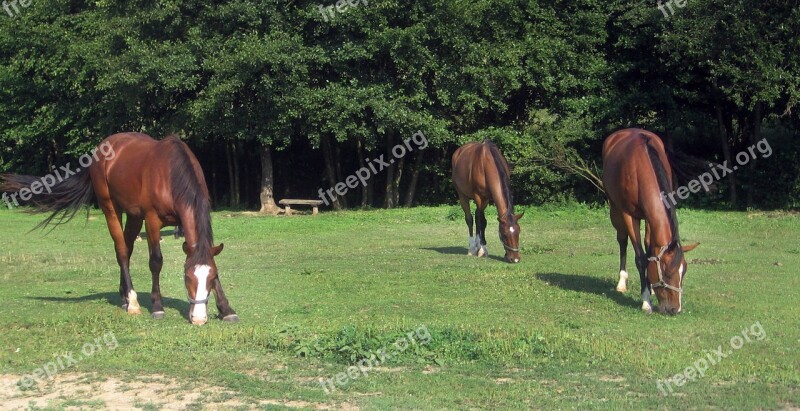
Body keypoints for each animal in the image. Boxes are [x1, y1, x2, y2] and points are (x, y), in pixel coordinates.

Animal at [0, 134, 238, 326]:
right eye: (187, 277)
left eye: (211, 277)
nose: (198, 318)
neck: (170, 174)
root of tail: (100, 151)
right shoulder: (152, 220)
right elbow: (156, 262)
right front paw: (157, 306)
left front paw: (226, 309)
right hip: (111, 209)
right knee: (122, 251)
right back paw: (132, 302)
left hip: (133, 216)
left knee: (127, 248)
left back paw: (124, 297)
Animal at [604, 129, 696, 316]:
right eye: (667, 273)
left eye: (684, 272)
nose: (675, 309)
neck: (641, 168)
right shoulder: (629, 215)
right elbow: (640, 258)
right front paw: (646, 301)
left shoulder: (649, 217)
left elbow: (649, 250)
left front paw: (650, 287)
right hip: (615, 208)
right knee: (622, 240)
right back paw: (622, 282)